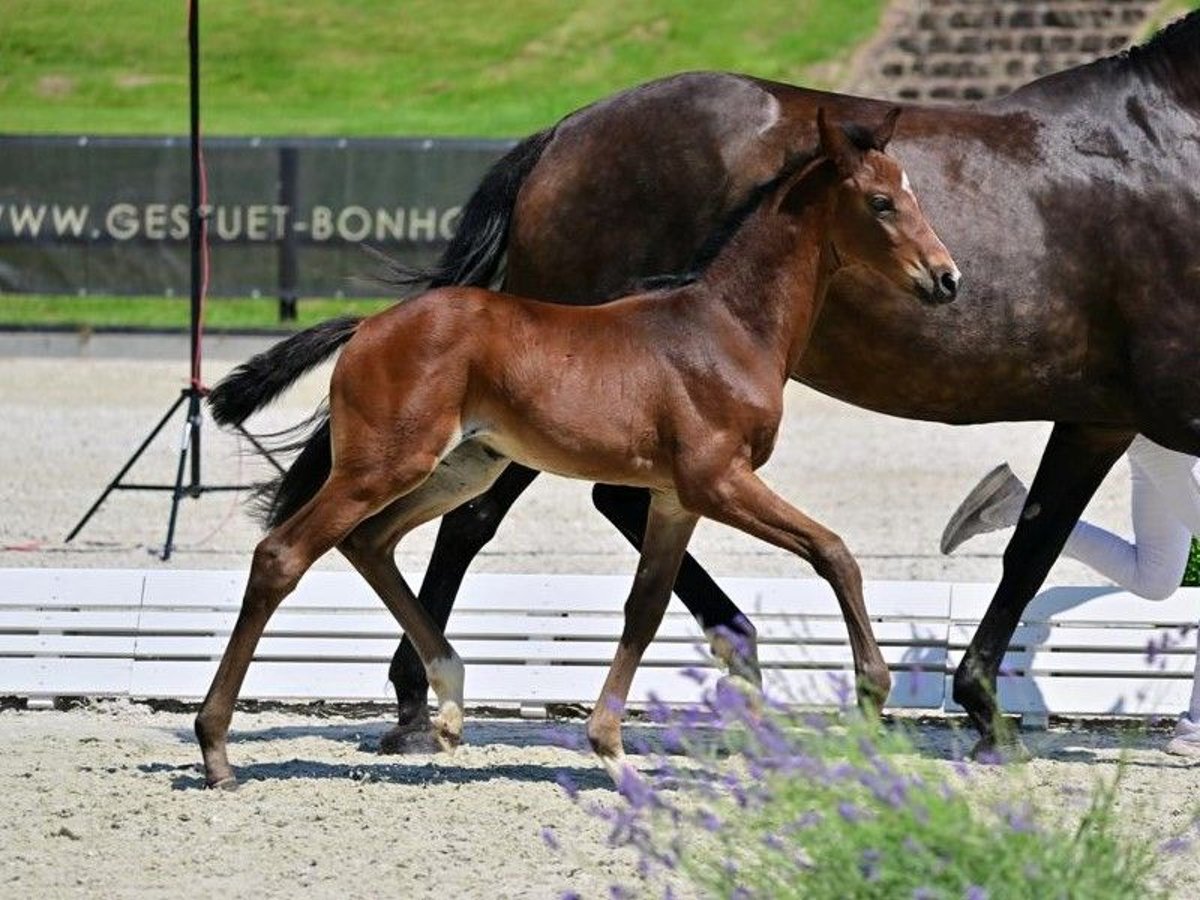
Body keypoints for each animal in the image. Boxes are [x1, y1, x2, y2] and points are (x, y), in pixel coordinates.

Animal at [196, 111, 955, 787]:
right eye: (882, 202)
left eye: (915, 193)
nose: (947, 278)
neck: (730, 328)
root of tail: (368, 326)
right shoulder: (717, 480)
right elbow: (834, 552)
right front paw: (871, 690)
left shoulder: (674, 499)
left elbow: (645, 609)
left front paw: (611, 748)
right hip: (383, 465)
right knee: (283, 556)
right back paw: (216, 752)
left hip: (462, 469)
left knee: (370, 542)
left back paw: (449, 702)